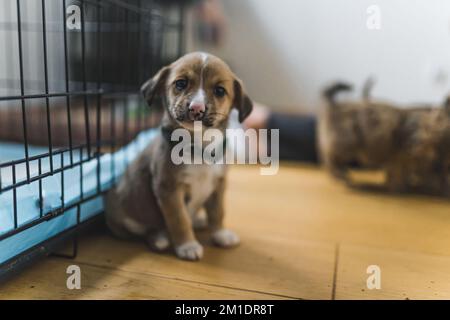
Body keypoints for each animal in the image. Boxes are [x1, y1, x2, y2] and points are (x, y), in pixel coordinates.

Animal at [105, 52, 253, 260]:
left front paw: (221, 234)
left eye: (220, 90)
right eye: (181, 83)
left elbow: (218, 212)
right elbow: (179, 219)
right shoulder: (169, 189)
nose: (197, 108)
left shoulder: (219, 184)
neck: (199, 148)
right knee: (148, 230)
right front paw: (187, 245)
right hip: (128, 216)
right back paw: (160, 239)